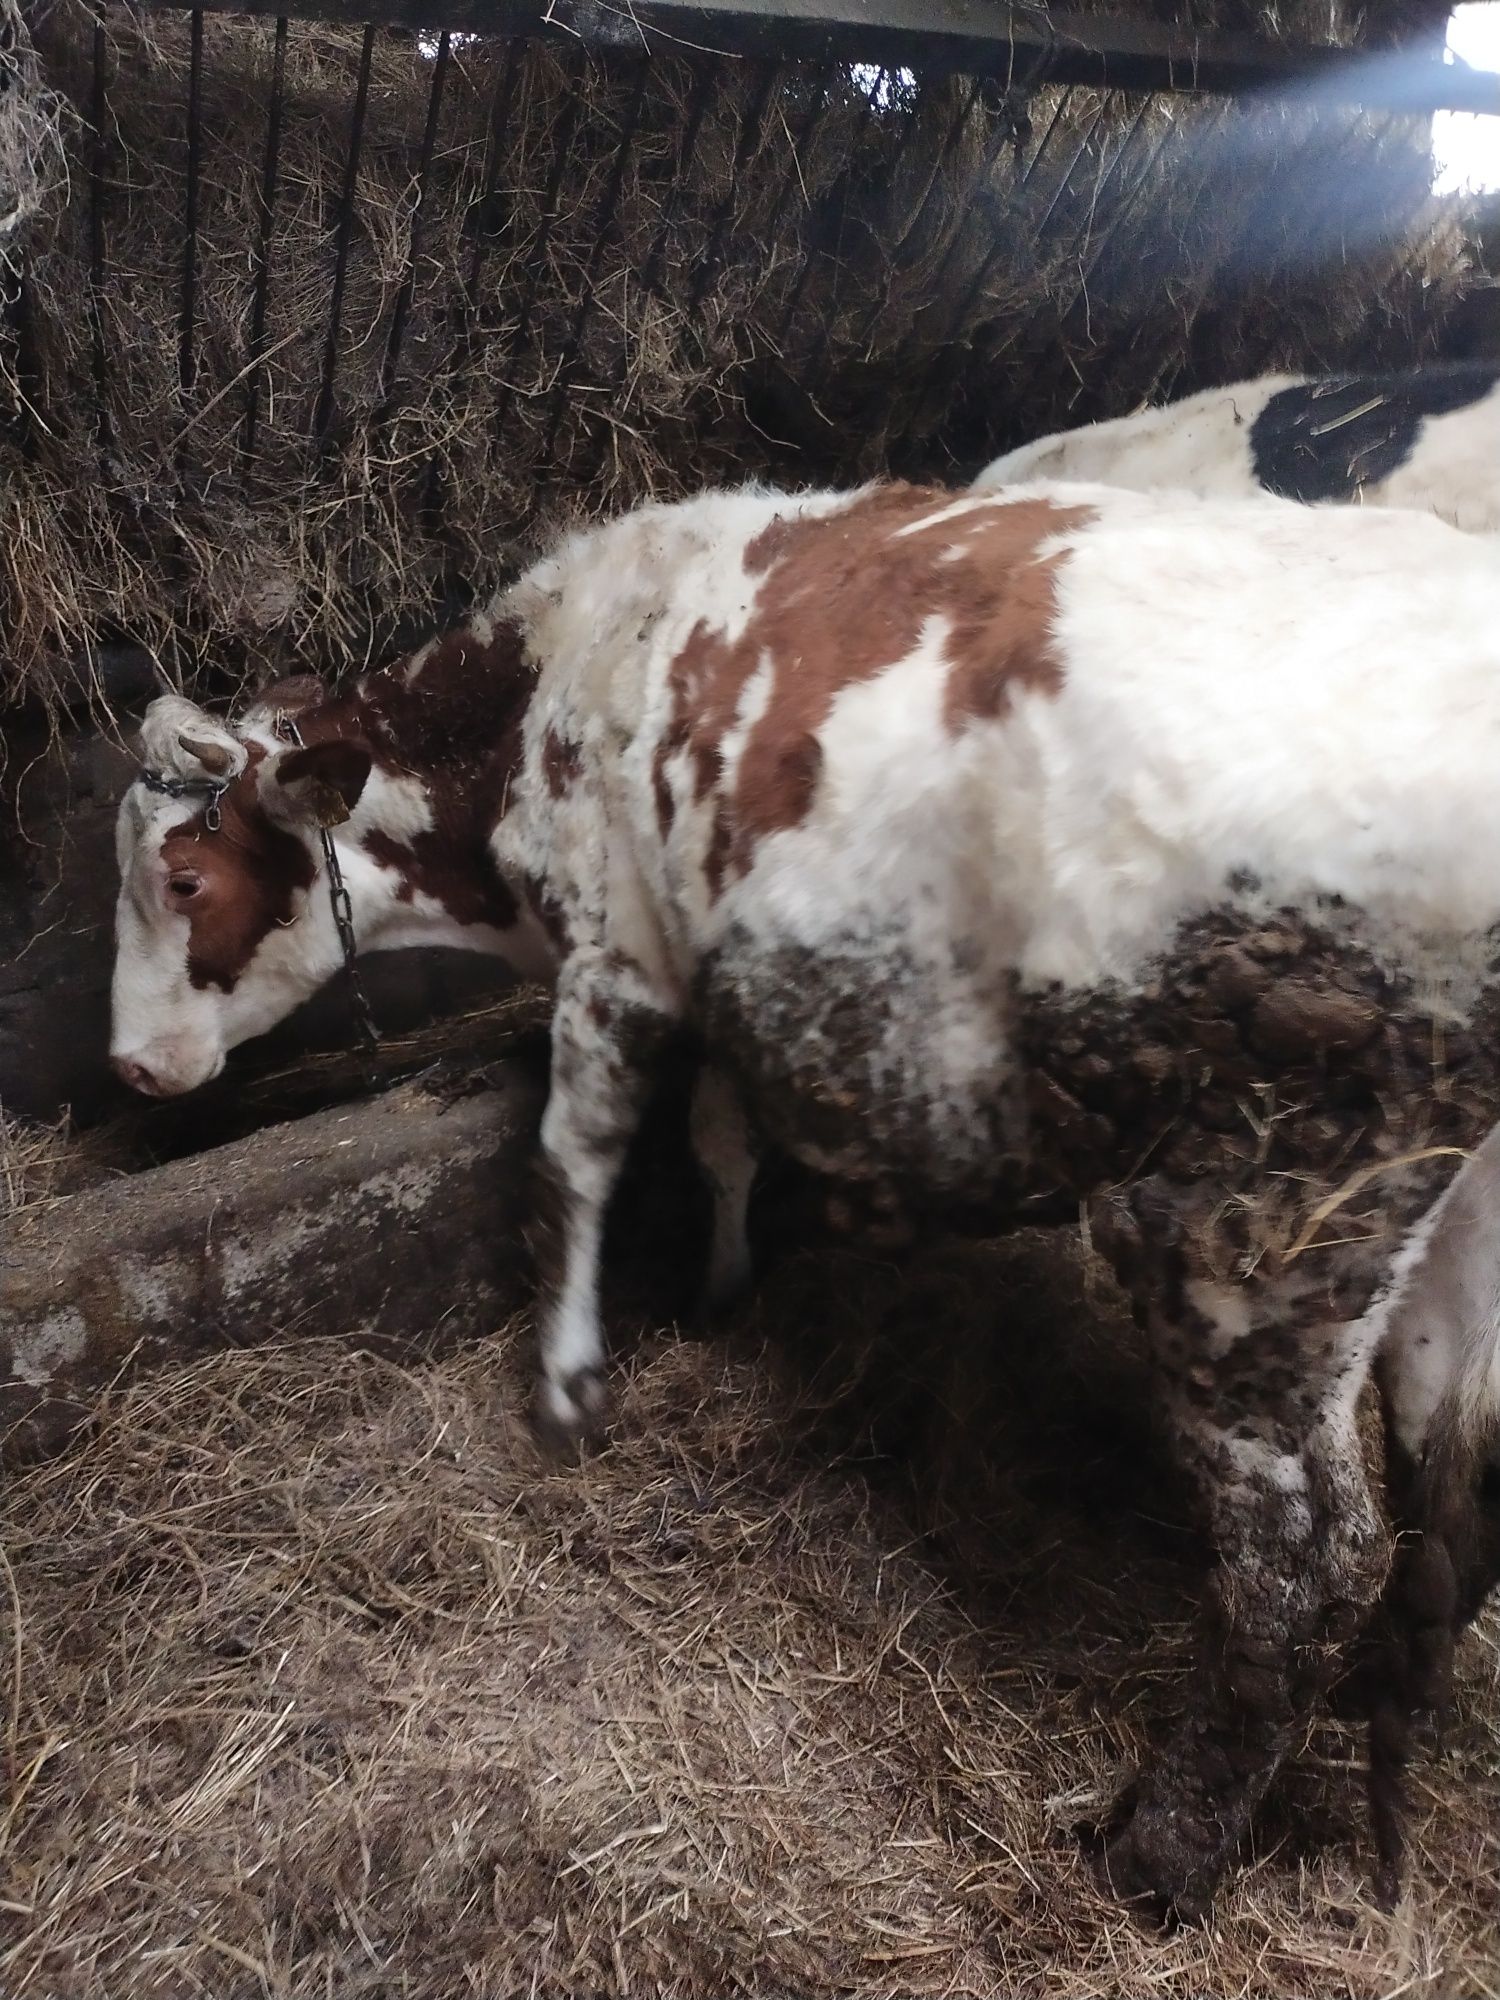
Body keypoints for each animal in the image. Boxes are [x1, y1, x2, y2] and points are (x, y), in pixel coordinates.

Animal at [114, 476, 1500, 1912]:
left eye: (182, 877)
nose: (130, 1065)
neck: (546, 682)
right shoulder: (714, 957)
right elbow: (723, 1135)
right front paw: (726, 1288)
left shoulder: (613, 949)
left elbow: (576, 1157)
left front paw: (566, 1386)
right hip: (1449, 1231)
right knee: (1447, 1517)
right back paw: (1376, 1784)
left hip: (1255, 1224)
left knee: (1309, 1559)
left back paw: (1155, 1854)